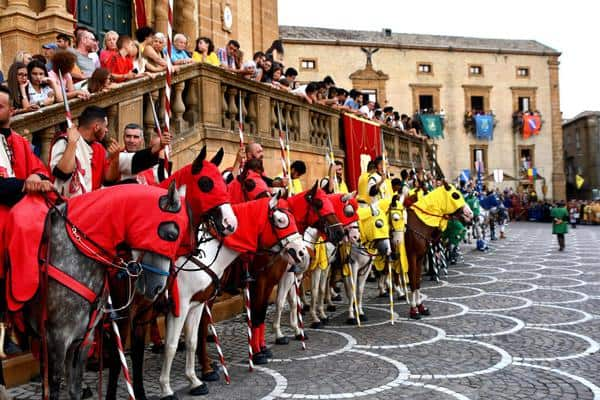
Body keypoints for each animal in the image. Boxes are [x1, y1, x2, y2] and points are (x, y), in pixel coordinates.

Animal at [103, 146, 237, 400]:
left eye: (226, 186)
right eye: (206, 183)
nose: (230, 223)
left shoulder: (192, 303)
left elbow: (191, 340)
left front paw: (195, 379)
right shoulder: (173, 305)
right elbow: (170, 345)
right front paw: (166, 387)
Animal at [157, 193, 310, 396]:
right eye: (280, 220)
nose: (302, 253)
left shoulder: (267, 283)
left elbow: (261, 314)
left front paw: (262, 348)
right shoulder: (259, 284)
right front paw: (259, 352)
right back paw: (206, 369)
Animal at [404, 182, 474, 318]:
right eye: (455, 195)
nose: (470, 214)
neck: (418, 223)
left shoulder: (420, 257)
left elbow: (417, 281)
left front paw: (421, 307)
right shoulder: (411, 256)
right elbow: (413, 282)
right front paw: (414, 310)